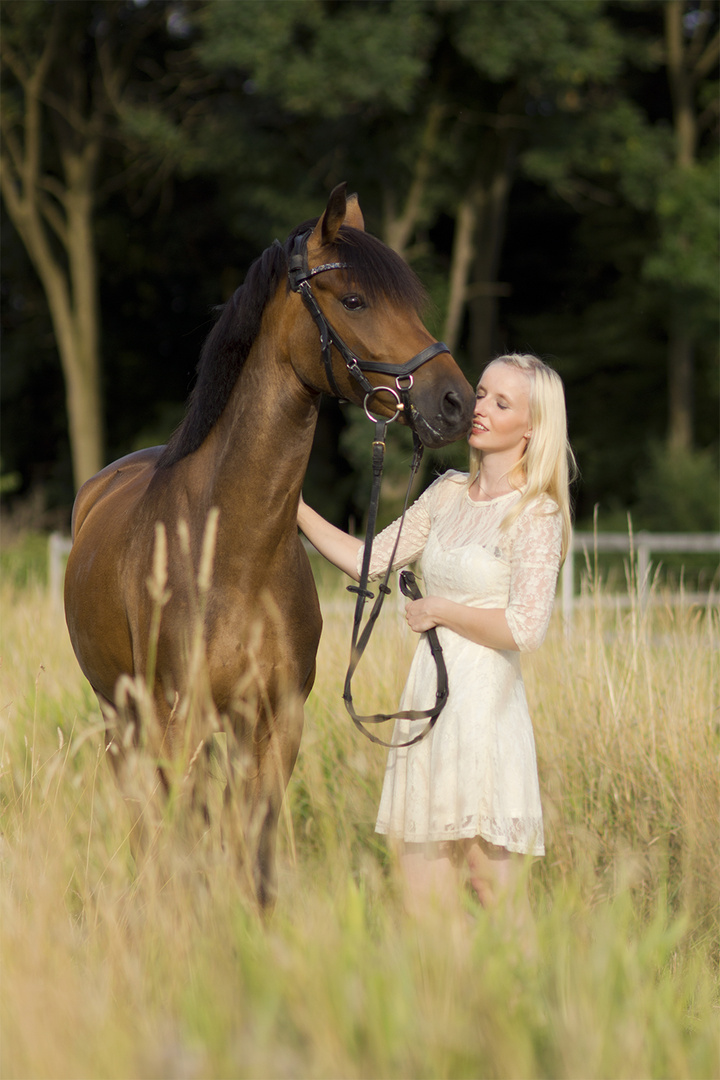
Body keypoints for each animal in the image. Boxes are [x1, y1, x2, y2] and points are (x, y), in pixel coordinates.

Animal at [64, 181, 474, 907]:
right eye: (355, 300)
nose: (455, 400)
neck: (233, 553)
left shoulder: (278, 722)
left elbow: (251, 854)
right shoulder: (177, 720)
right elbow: (183, 842)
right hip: (122, 715)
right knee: (146, 822)